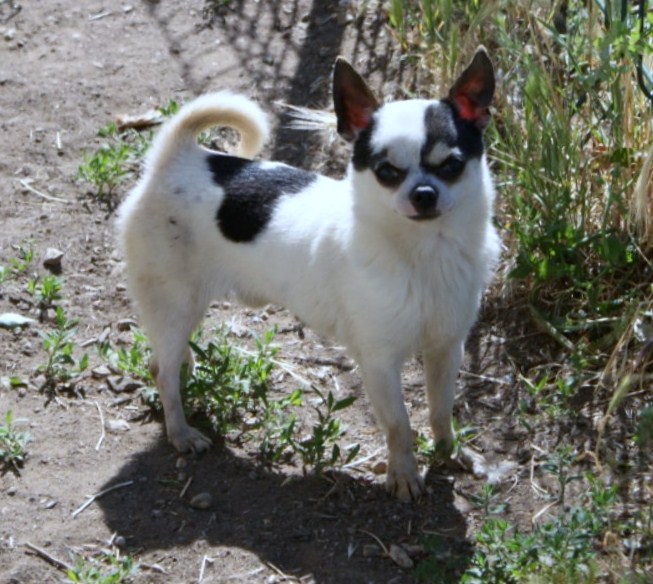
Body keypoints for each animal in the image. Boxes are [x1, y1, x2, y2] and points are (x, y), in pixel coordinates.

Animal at [117, 47, 499, 500]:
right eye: (387, 171)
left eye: (452, 165)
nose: (424, 193)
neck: (424, 253)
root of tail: (175, 159)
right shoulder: (380, 364)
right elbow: (400, 426)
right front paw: (404, 475)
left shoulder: (446, 348)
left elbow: (441, 411)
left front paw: (448, 455)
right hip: (175, 301)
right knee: (161, 369)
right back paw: (180, 432)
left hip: (181, 307)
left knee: (166, 358)